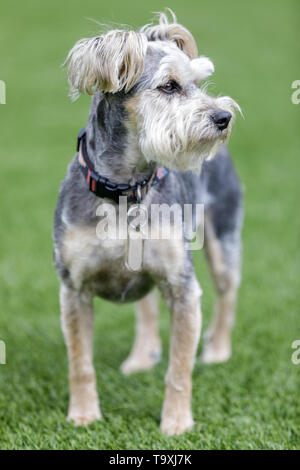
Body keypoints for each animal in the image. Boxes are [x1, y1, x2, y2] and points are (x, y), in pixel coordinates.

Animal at [52, 11, 243, 436]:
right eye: (169, 85)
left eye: (198, 82)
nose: (224, 117)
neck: (124, 191)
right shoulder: (74, 289)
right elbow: (79, 363)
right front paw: (83, 415)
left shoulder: (183, 287)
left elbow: (180, 369)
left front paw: (176, 423)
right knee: (146, 307)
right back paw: (141, 357)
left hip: (223, 237)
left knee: (227, 292)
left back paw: (218, 350)